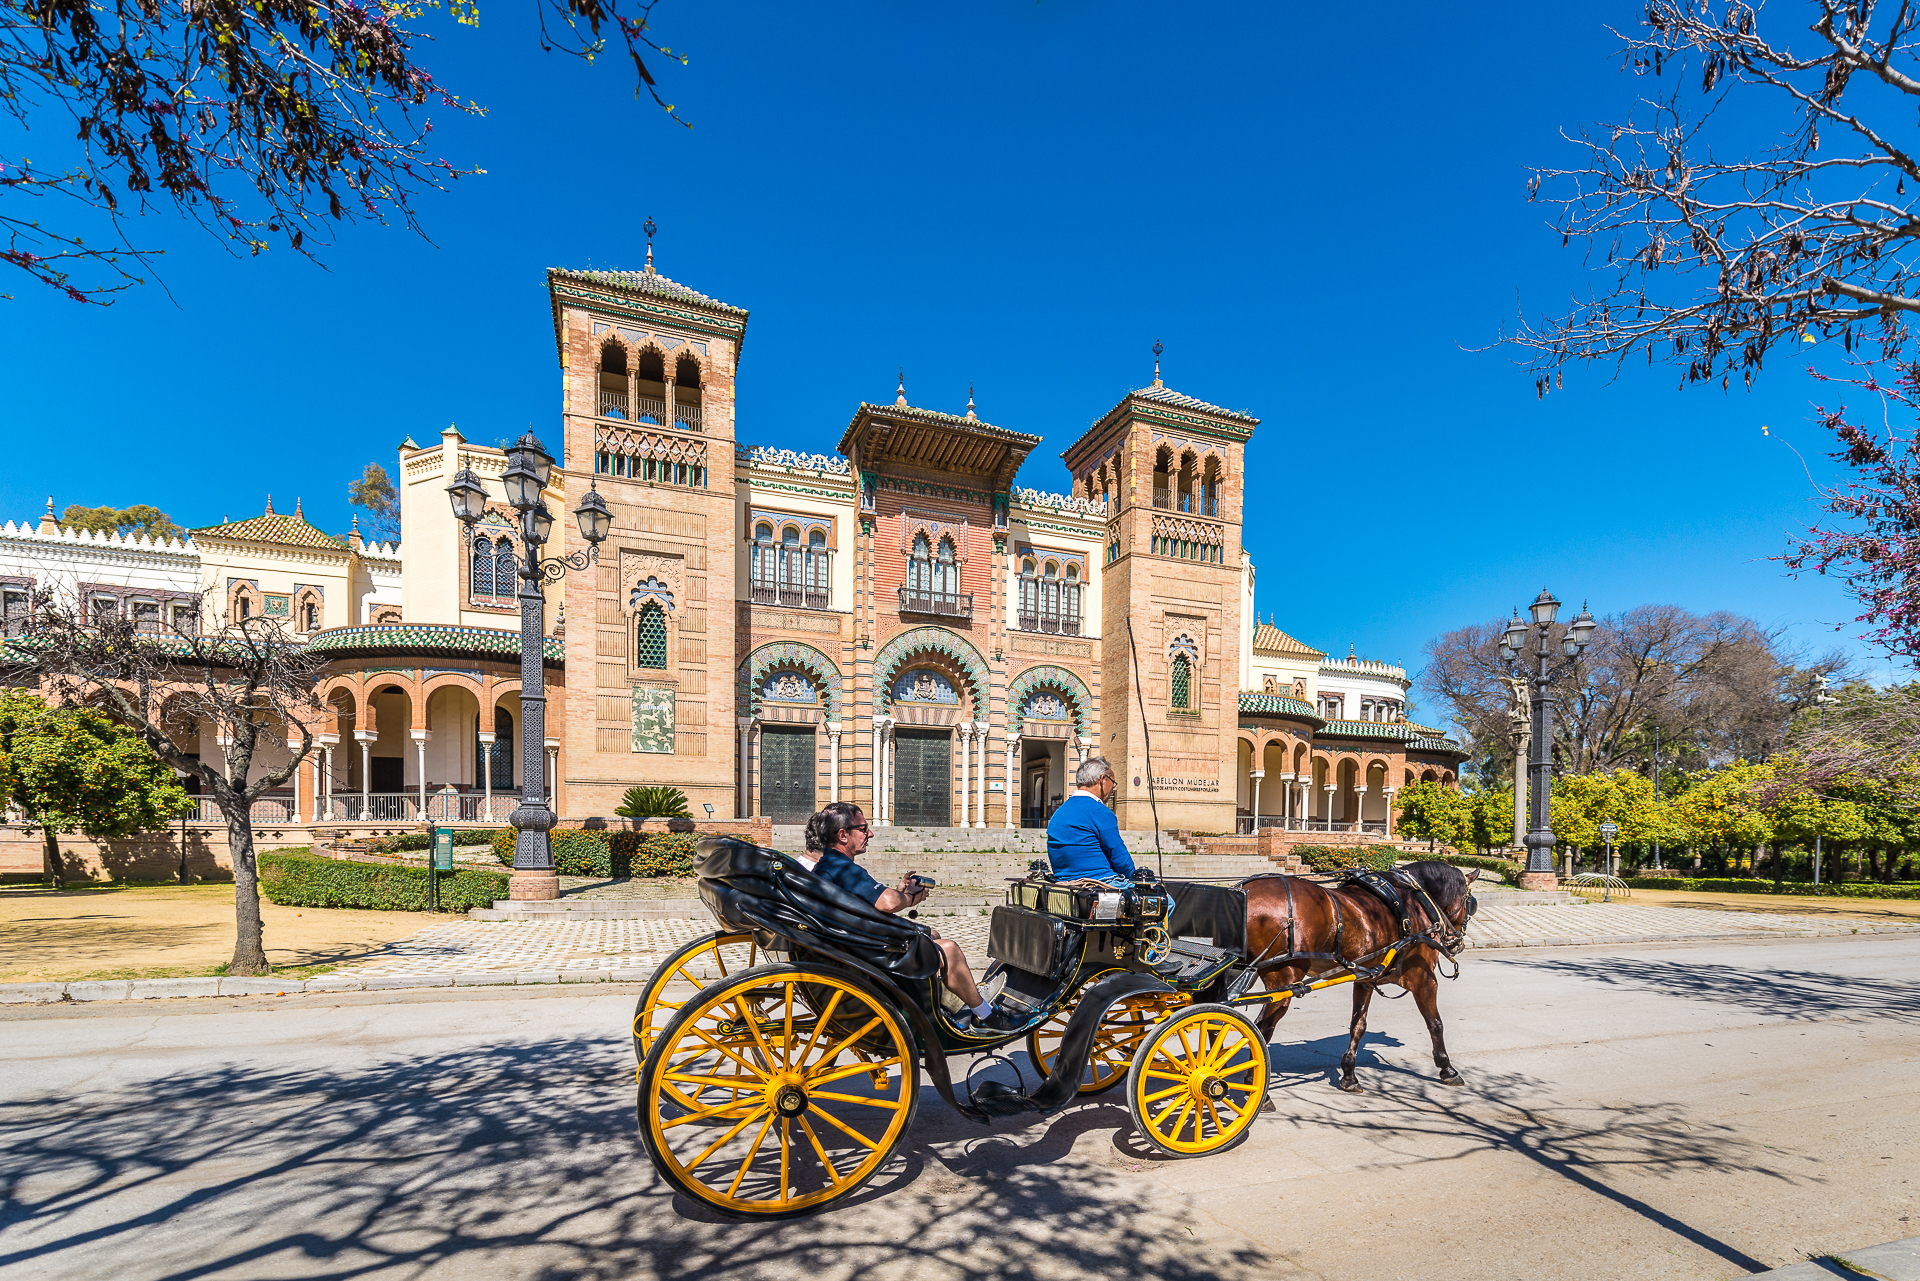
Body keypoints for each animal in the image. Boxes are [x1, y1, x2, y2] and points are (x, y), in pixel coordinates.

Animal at [1236, 860, 1474, 1090]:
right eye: (1469, 902)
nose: (1457, 942)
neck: (1415, 901)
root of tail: (1244, 889)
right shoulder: (1423, 978)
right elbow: (1435, 1023)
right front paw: (1447, 1069)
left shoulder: (1365, 980)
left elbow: (1358, 1025)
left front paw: (1349, 1075)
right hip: (1284, 980)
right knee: (1261, 1029)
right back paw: (1254, 1085)